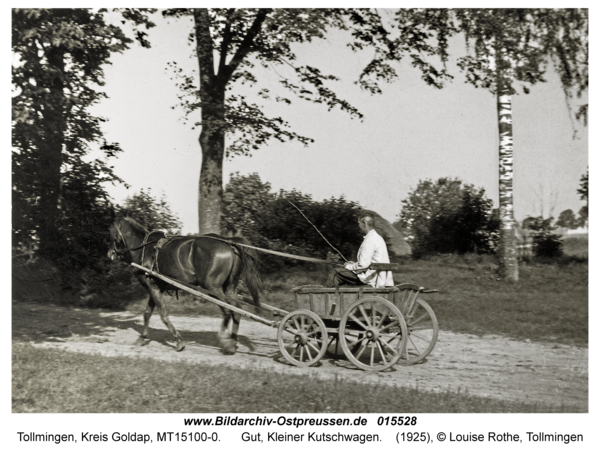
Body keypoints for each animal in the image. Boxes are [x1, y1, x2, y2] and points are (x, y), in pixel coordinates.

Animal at [106, 212, 262, 354]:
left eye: (111, 232)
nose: (110, 253)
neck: (145, 248)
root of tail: (229, 242)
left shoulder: (153, 287)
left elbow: (163, 315)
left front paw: (178, 341)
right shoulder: (156, 287)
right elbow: (147, 314)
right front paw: (142, 338)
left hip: (213, 288)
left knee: (228, 311)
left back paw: (224, 341)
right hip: (230, 287)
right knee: (237, 311)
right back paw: (233, 342)